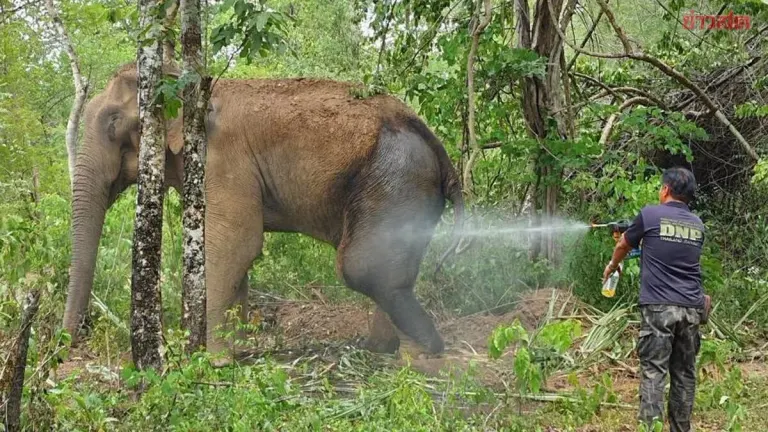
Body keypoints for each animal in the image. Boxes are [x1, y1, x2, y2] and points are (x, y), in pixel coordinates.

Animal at [61, 62, 465, 357]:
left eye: (113, 123)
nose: (69, 345)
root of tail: (439, 149)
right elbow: (235, 253)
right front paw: (238, 353)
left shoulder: (224, 161)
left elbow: (236, 243)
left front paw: (212, 362)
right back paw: (380, 349)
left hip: (397, 178)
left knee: (364, 267)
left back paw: (420, 356)